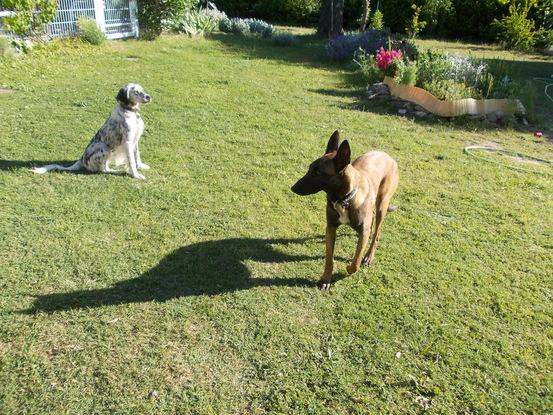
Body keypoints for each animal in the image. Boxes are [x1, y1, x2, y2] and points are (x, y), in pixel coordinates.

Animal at [292, 132, 398, 290]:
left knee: (376, 233)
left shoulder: (363, 231)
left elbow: (356, 262)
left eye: (318, 172)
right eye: (310, 168)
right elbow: (329, 258)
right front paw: (326, 279)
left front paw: (349, 268)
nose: (293, 188)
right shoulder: (330, 228)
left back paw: (369, 256)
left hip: (382, 205)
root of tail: (388, 156)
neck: (344, 199)